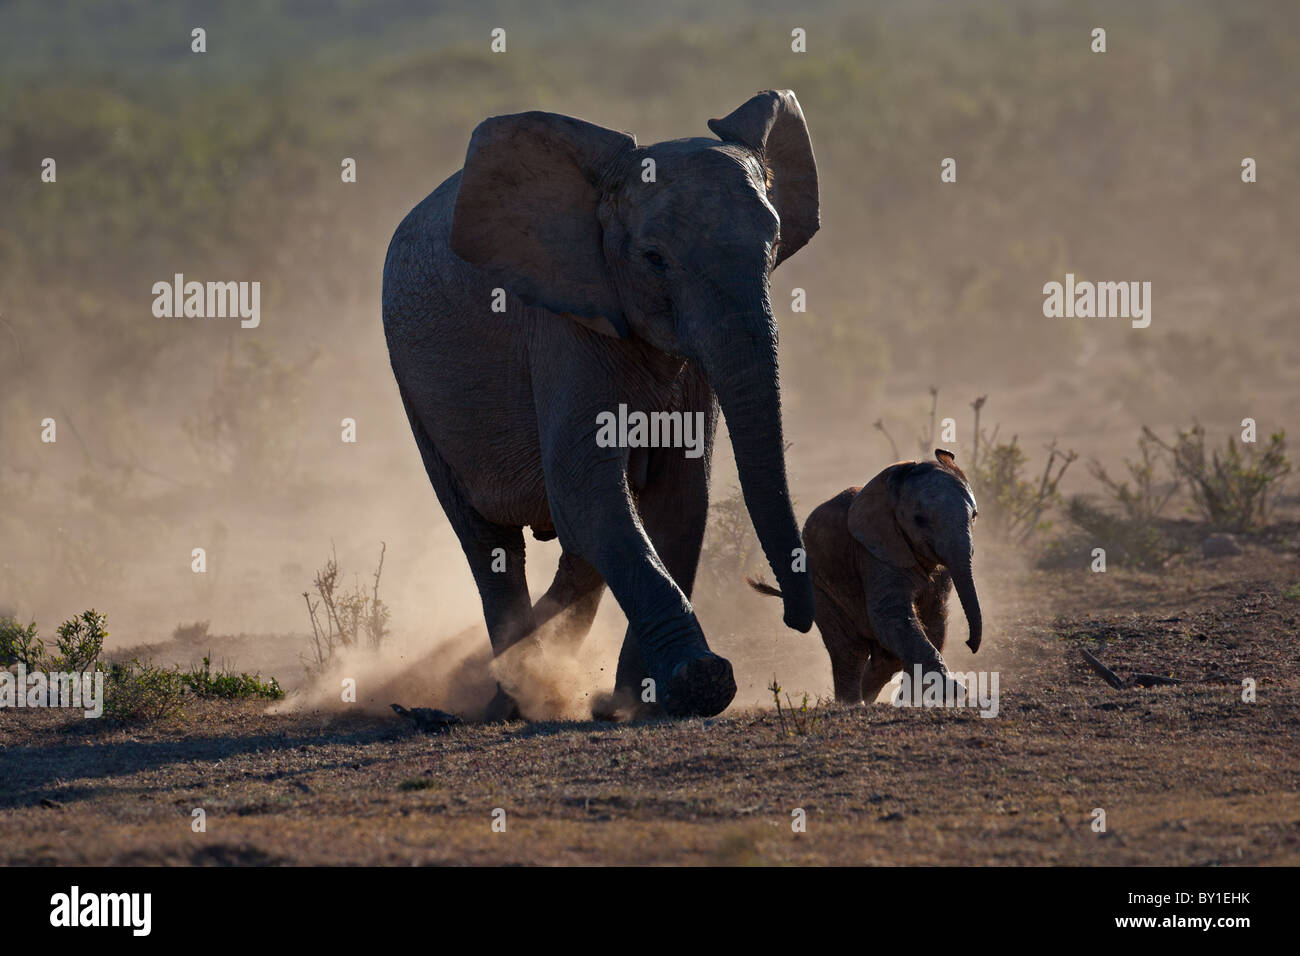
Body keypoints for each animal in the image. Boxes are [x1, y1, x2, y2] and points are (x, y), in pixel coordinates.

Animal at [379, 89, 816, 723]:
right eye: (654, 258)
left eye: (775, 246)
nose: (784, 607)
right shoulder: (563, 322)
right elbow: (586, 485)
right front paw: (700, 683)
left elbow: (679, 496)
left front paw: (638, 703)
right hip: (416, 394)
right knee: (489, 543)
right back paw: (508, 698)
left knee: (580, 548)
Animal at [754, 447, 982, 702]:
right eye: (919, 520)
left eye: (974, 516)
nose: (970, 644)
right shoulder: (873, 551)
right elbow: (890, 614)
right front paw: (953, 691)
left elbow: (934, 617)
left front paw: (914, 698)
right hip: (819, 587)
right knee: (849, 649)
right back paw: (852, 704)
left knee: (885, 658)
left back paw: (867, 696)